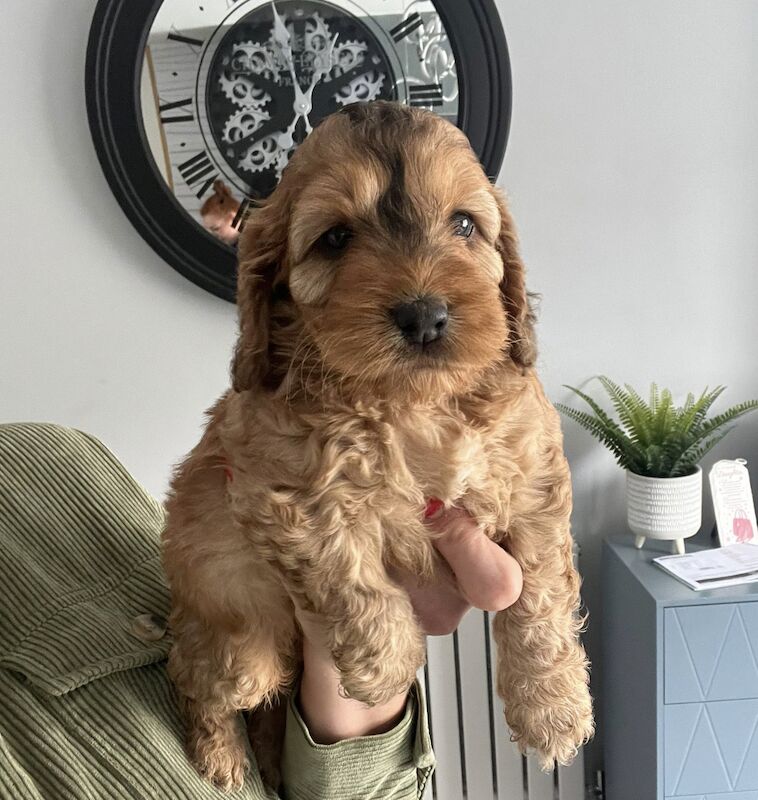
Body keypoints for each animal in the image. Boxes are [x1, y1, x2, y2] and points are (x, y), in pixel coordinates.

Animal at [165, 98, 592, 788]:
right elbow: (348, 576)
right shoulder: (281, 485)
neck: (413, 402)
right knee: (197, 679)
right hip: (238, 638)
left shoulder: (534, 476)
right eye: (336, 238)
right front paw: (387, 663)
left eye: (465, 224)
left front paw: (552, 709)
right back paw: (220, 755)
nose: (424, 317)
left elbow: (540, 597)